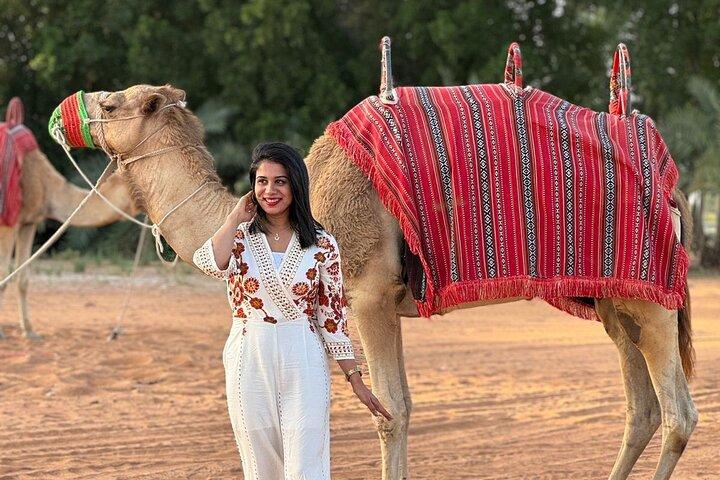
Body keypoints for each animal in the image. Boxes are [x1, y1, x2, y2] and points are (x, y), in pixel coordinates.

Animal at [0, 144, 138, 340]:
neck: (46, 186)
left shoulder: (29, 221)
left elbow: (23, 277)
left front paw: (29, 330)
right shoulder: (8, 222)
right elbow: (4, 275)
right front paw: (1, 333)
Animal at [58, 83, 697, 480]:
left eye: (111, 104)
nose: (63, 111)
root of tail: (673, 186)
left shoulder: (366, 296)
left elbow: (390, 410)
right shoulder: (382, 303)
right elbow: (400, 406)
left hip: (653, 298)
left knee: (678, 415)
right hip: (616, 302)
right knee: (640, 407)